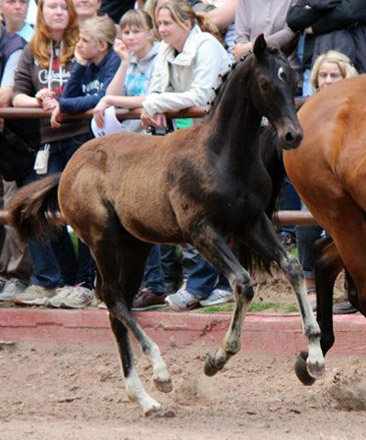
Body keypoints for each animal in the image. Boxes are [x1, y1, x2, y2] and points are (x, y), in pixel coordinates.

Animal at [9, 35, 324, 416]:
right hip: (103, 240)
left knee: (116, 304)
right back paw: (160, 374)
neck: (222, 155)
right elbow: (243, 283)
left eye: (292, 82)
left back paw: (145, 399)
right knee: (112, 297)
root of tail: (68, 168)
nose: (293, 135)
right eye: (265, 83)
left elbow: (291, 267)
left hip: (135, 246)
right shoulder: (202, 231)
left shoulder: (251, 223)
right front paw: (216, 359)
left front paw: (315, 359)